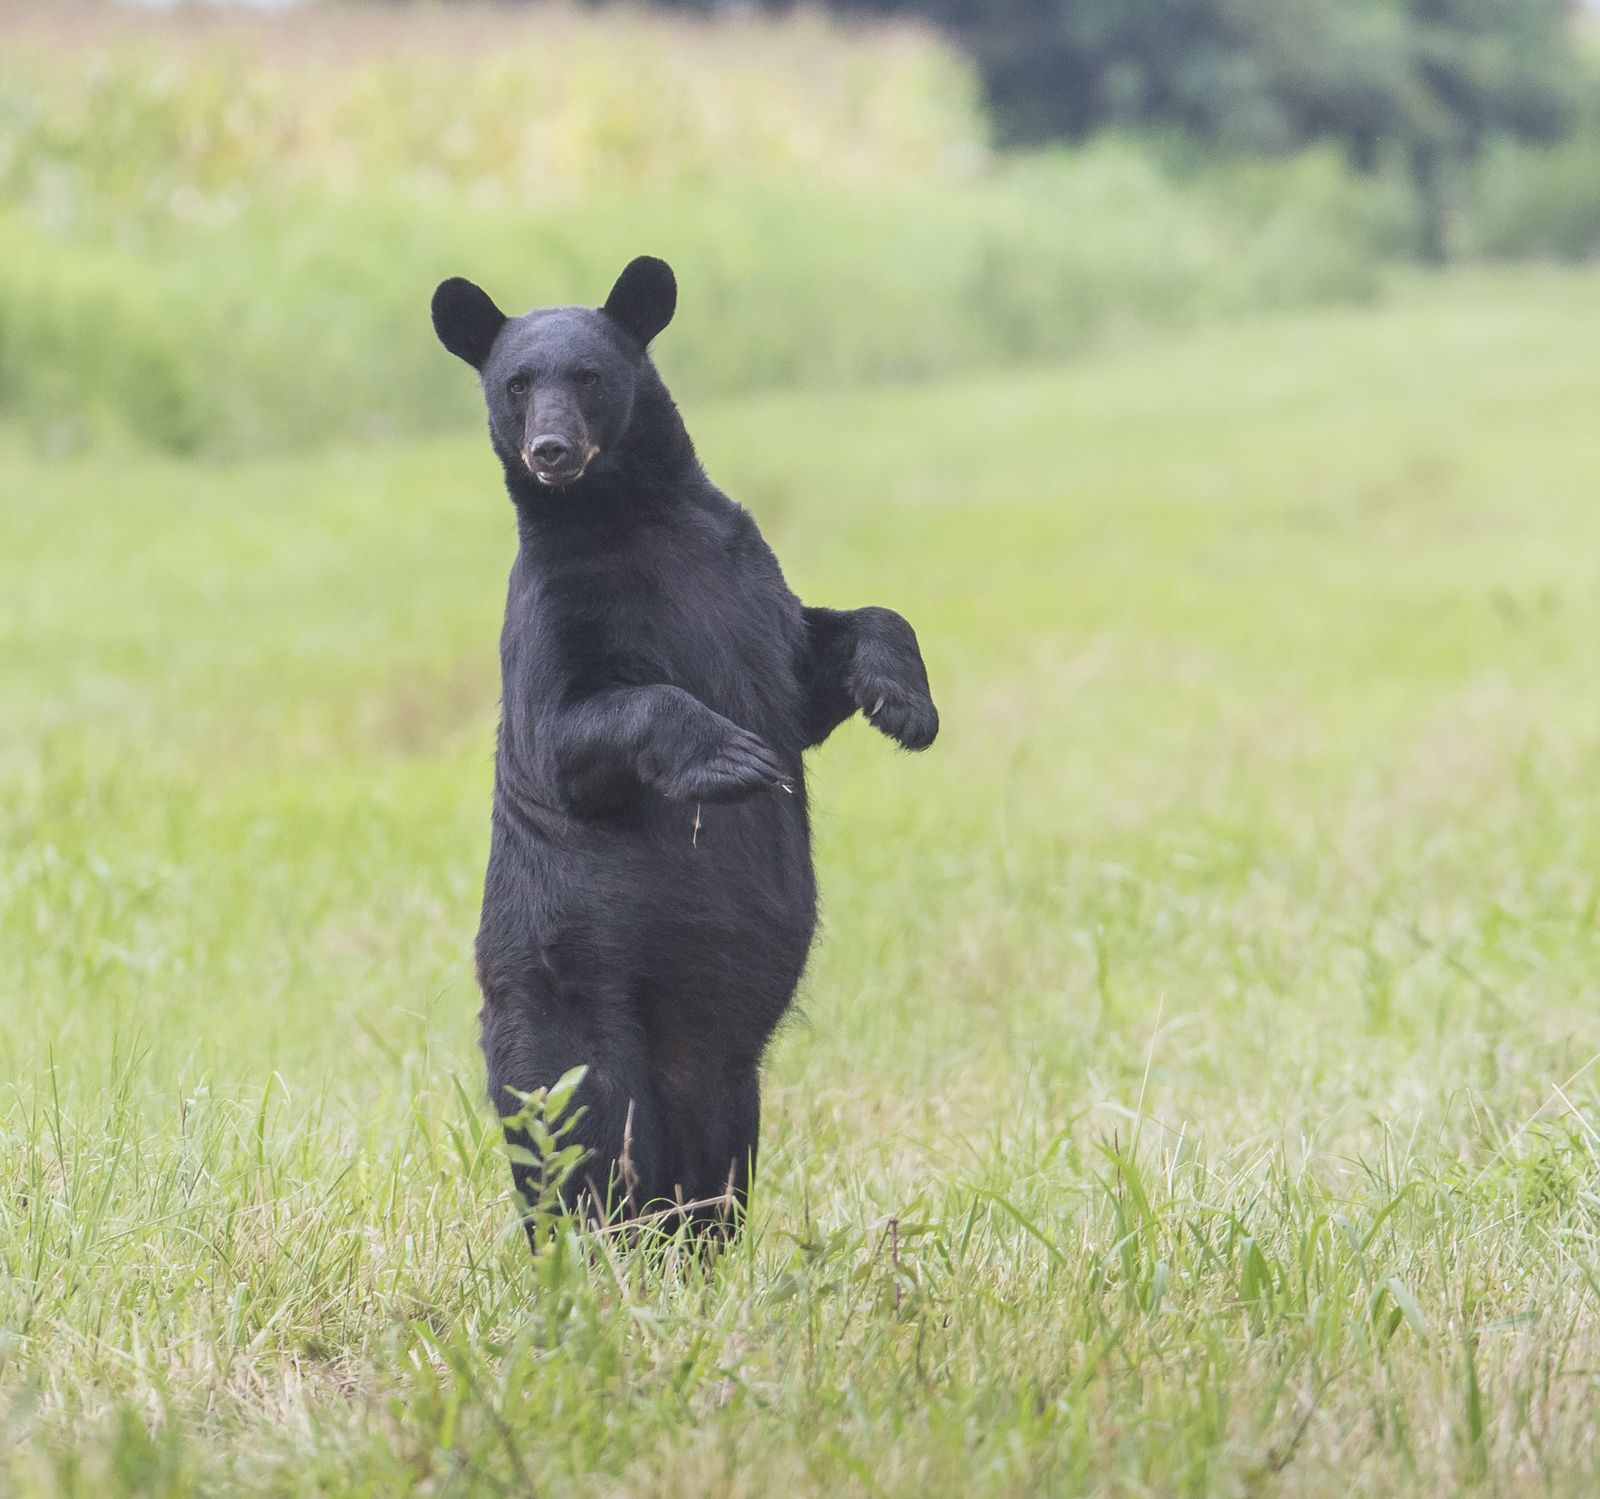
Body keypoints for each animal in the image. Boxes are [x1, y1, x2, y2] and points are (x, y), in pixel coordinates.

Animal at [431, 255, 938, 1234]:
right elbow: (574, 730)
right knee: (583, 1144)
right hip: (568, 998)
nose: (552, 451)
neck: (629, 516)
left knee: (711, 1166)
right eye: (517, 384)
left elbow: (824, 657)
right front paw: (734, 761)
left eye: (588, 376)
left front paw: (905, 705)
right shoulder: (554, 609)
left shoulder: (748, 579)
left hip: (722, 1064)